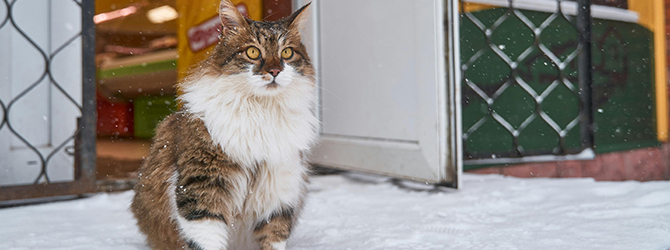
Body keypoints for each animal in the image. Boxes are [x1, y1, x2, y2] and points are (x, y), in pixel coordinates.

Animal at [131, 0, 320, 249]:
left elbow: (273, 237)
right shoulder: (202, 189)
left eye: (287, 53)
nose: (275, 71)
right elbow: (207, 240)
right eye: (252, 52)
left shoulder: (279, 194)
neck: (262, 112)